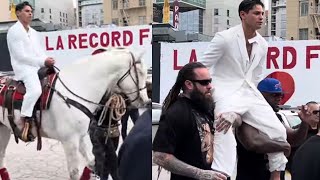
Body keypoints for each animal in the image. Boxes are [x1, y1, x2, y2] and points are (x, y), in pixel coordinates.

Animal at [0, 47, 149, 180]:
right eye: (139, 72)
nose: (145, 101)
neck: (77, 87)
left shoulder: (80, 137)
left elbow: (91, 162)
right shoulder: (69, 142)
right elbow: (75, 173)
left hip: (4, 130)